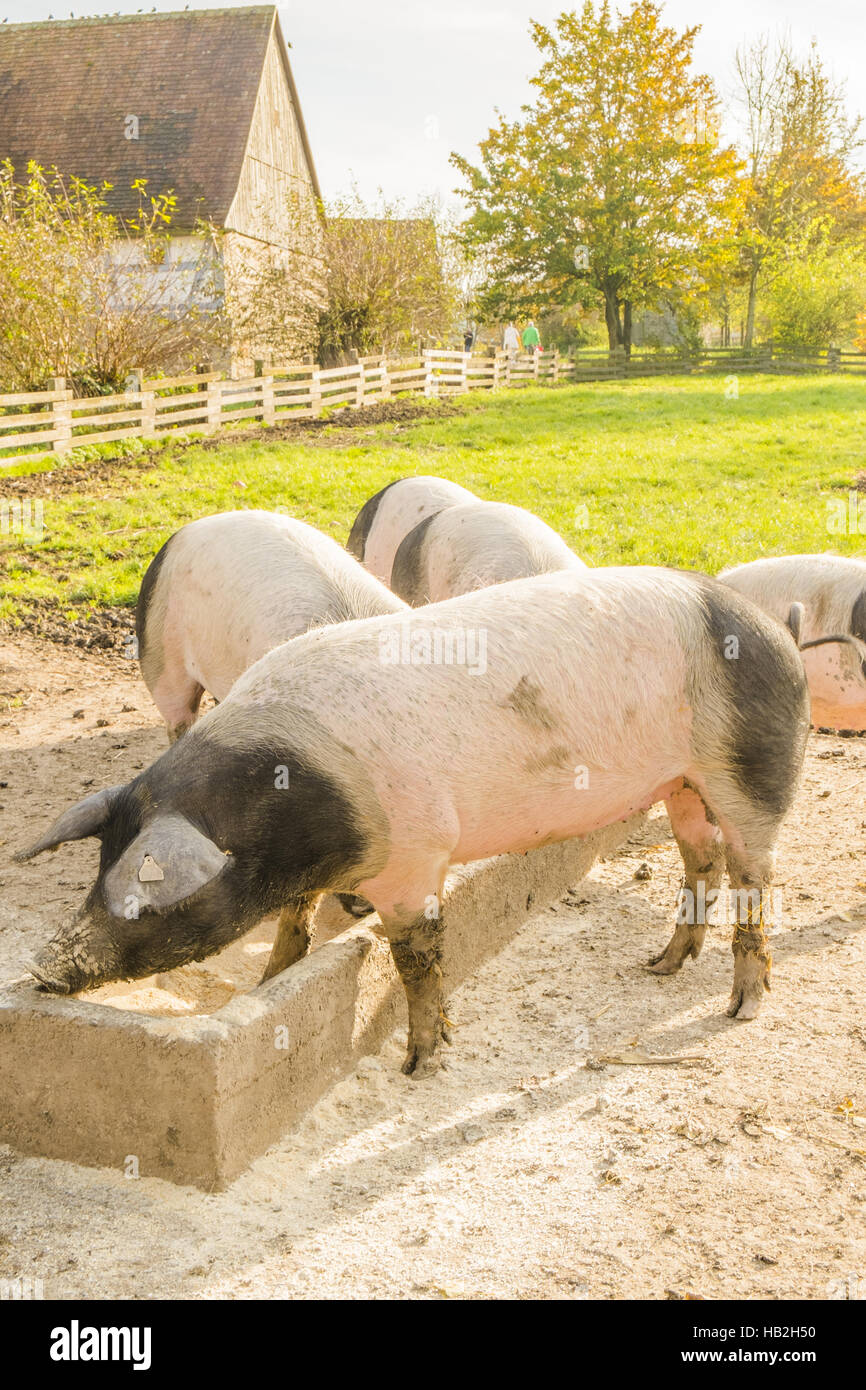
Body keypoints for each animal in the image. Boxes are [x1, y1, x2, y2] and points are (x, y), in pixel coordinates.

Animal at [16, 564, 811, 1073]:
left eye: (145, 898)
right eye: (96, 873)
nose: (45, 967)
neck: (298, 802)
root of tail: (780, 632)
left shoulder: (415, 858)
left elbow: (415, 961)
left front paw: (420, 1063)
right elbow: (293, 925)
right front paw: (268, 981)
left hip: (749, 772)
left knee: (754, 877)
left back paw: (741, 1008)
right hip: (682, 783)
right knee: (700, 859)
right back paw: (661, 965)